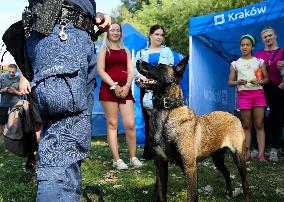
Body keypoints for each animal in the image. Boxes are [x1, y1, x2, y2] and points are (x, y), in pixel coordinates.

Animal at [136, 55, 250, 202]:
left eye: (160, 66)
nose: (137, 60)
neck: (166, 111)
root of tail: (233, 115)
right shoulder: (161, 165)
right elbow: (161, 194)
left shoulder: (189, 167)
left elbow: (192, 197)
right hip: (217, 158)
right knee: (227, 172)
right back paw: (229, 192)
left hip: (238, 158)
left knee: (245, 182)